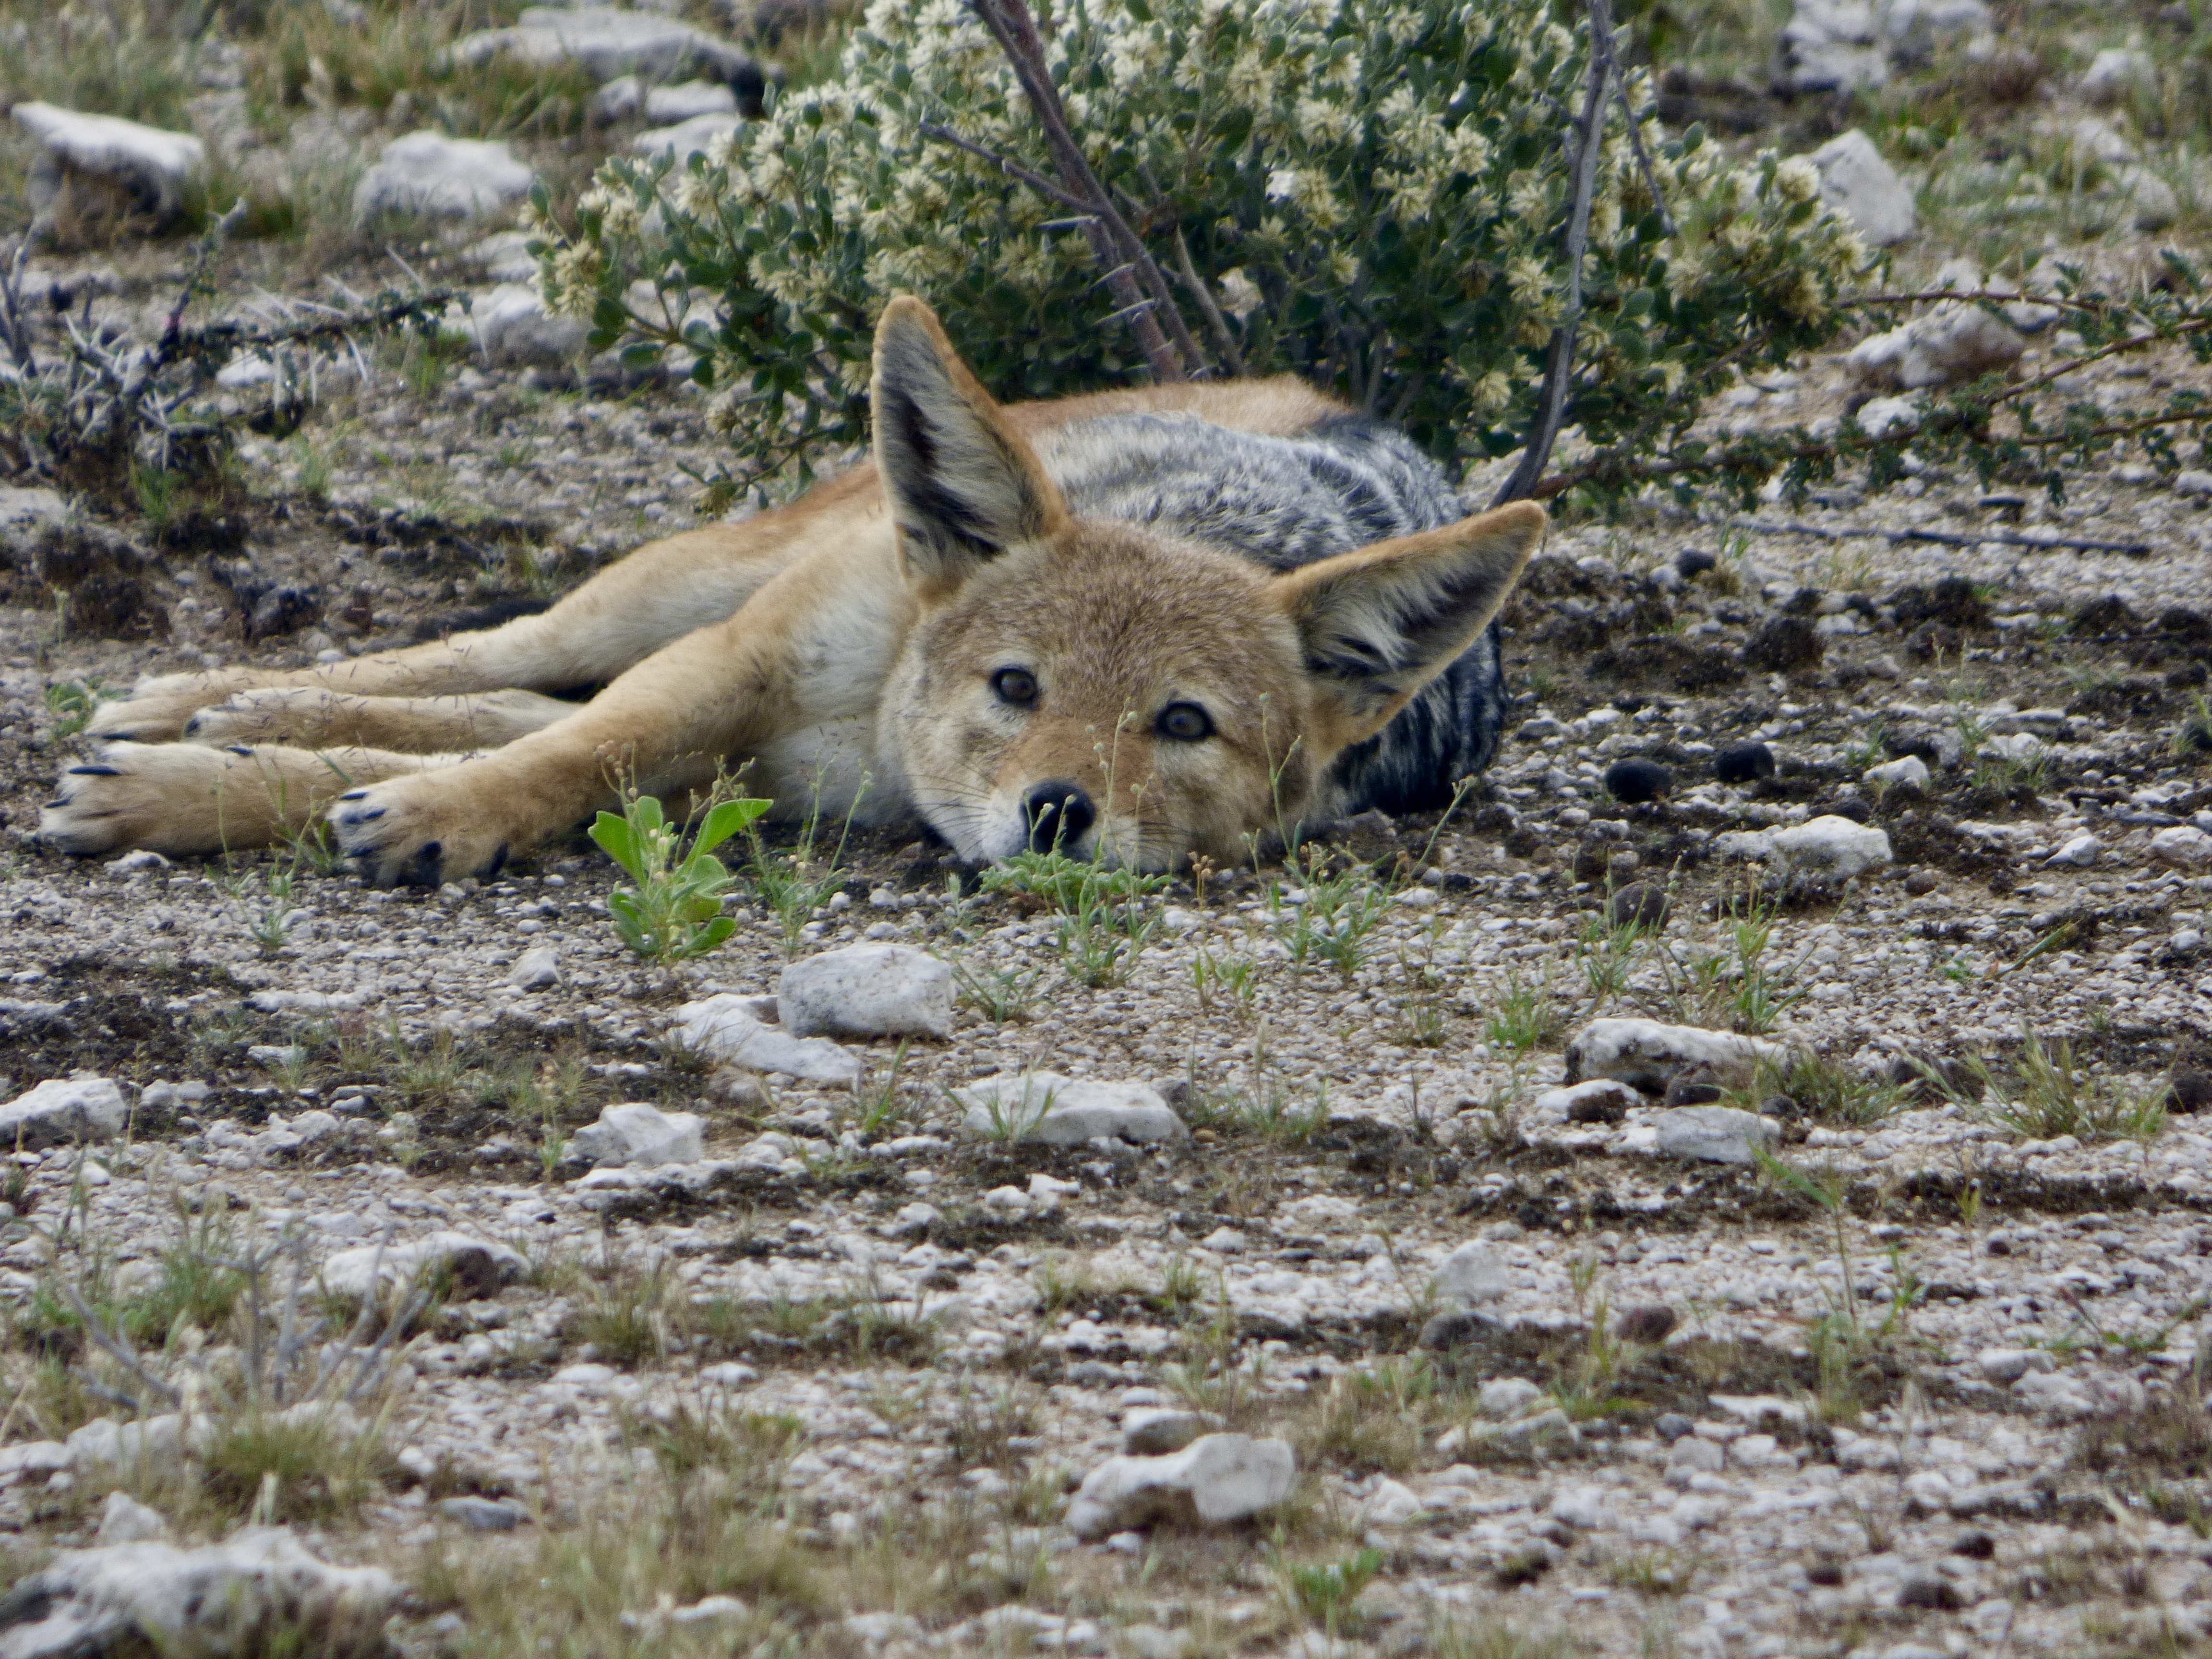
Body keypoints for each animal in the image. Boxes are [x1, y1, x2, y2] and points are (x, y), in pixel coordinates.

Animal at [38, 297, 1544, 884]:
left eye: (1182, 724)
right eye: (1017, 686)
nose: (1057, 811)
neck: (876, 735)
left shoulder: (746, 776)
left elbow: (547, 761)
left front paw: (242, 791)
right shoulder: (734, 671)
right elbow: (556, 757)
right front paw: (414, 816)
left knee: (498, 700)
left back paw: (207, 739)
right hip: (676, 595)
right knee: (488, 661)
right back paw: (198, 701)